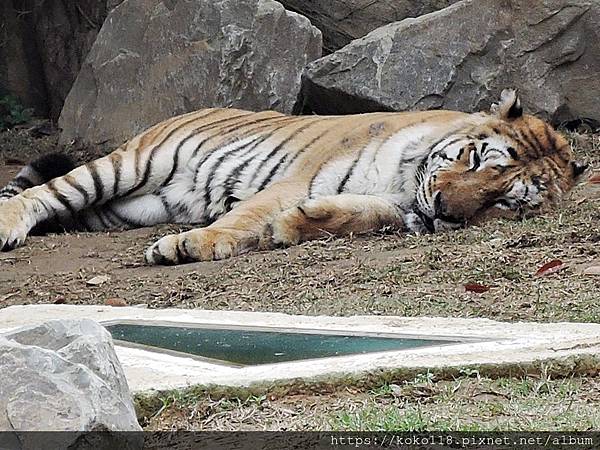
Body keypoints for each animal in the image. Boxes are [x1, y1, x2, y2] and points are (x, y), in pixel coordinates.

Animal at [0, 90, 588, 266]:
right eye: (474, 159)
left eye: (505, 202)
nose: (444, 208)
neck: (406, 183)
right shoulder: (292, 180)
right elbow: (244, 216)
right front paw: (192, 245)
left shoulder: (394, 205)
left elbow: (357, 215)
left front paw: (295, 226)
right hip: (126, 166)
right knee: (40, 194)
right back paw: (7, 224)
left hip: (116, 210)